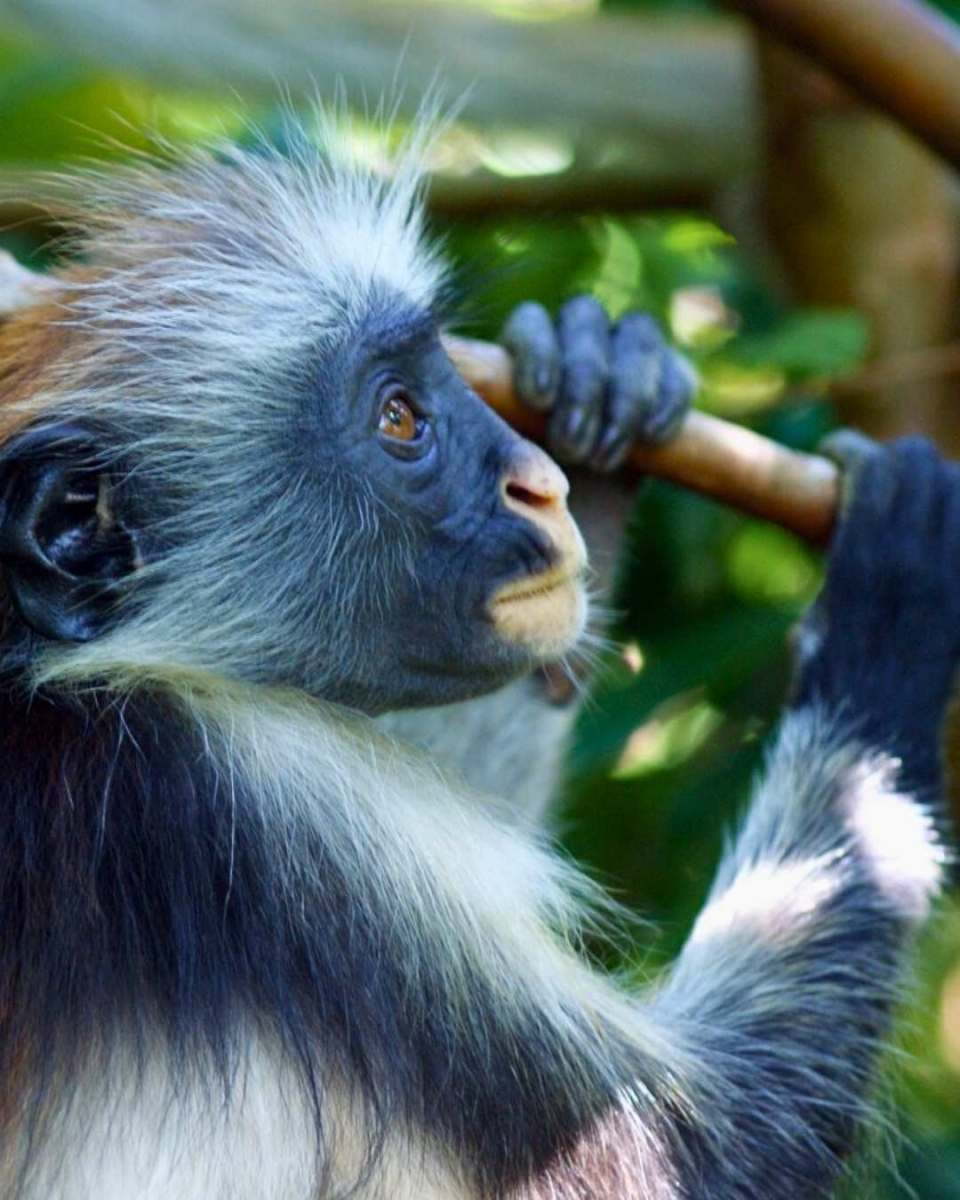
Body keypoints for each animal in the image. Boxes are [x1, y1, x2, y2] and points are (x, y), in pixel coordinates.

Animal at [0, 114, 945, 1200]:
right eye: (399, 417)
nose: (540, 483)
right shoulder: (254, 801)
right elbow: (717, 1153)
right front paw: (892, 601)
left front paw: (595, 395)